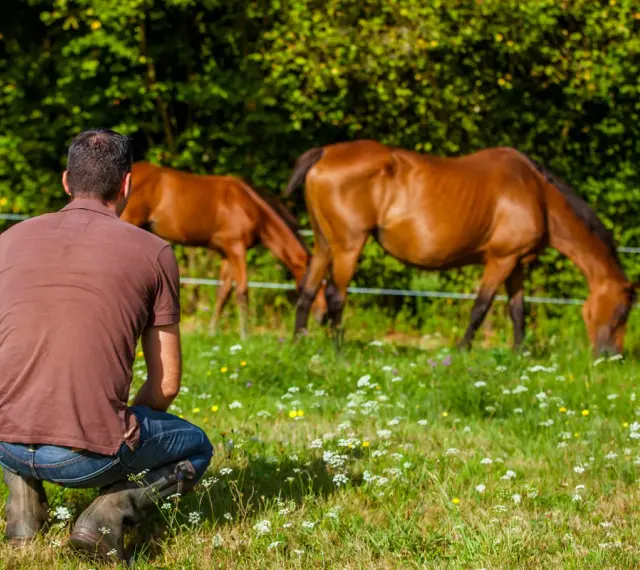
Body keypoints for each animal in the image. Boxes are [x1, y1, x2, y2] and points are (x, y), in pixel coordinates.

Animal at [121, 162, 328, 338]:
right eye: (318, 286)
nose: (323, 316)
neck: (250, 206)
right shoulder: (237, 248)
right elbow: (242, 291)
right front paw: (245, 335)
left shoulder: (226, 254)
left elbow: (223, 292)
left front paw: (213, 332)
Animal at [285, 139, 637, 355]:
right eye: (622, 311)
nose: (612, 357)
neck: (536, 194)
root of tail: (325, 153)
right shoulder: (500, 260)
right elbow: (481, 307)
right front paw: (462, 349)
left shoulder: (517, 264)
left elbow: (518, 311)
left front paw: (519, 354)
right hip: (348, 245)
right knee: (335, 295)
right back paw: (338, 348)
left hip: (325, 244)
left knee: (308, 290)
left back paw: (300, 342)